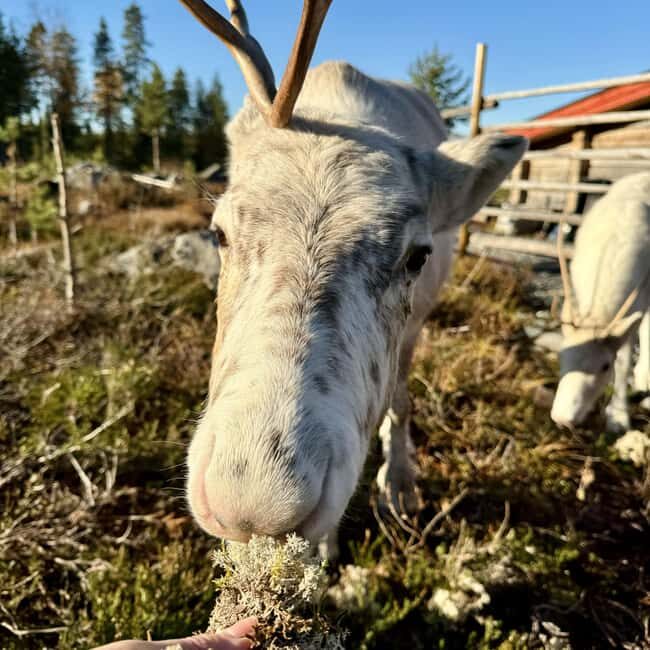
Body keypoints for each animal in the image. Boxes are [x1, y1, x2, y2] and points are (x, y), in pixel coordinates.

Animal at [180, 0, 527, 552]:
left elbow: (400, 400)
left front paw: (399, 487)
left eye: (417, 256)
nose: (253, 507)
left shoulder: (416, 321)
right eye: (219, 233)